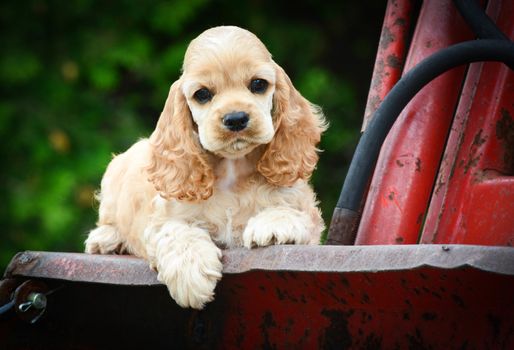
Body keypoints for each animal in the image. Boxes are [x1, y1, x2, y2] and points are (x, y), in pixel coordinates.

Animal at [84, 25, 324, 308]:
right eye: (202, 94)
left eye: (258, 84)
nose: (236, 118)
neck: (232, 169)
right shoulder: (165, 218)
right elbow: (178, 233)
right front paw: (190, 276)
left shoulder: (302, 206)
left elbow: (290, 210)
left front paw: (274, 224)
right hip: (114, 175)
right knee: (108, 219)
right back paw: (105, 239)